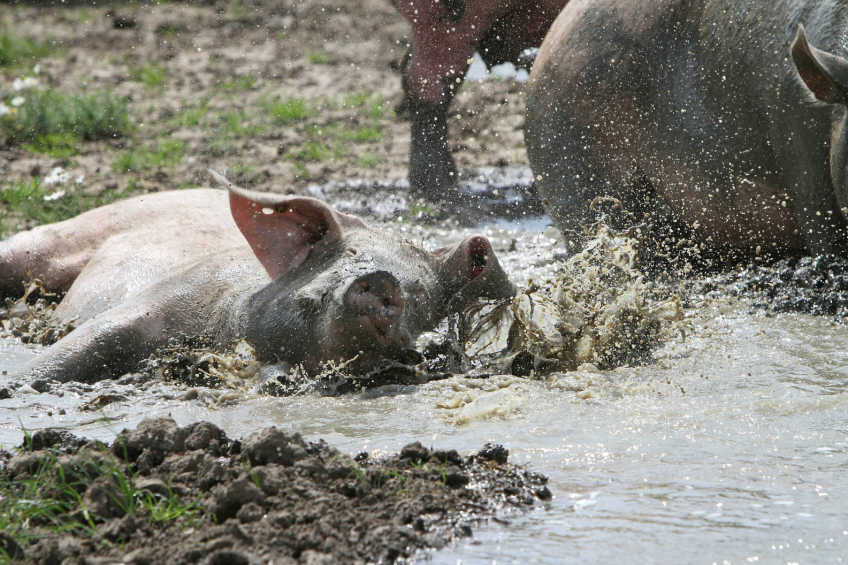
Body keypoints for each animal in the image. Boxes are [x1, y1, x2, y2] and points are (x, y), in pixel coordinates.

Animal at [0, 172, 512, 384]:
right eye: (349, 253)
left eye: (423, 296)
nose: (383, 281)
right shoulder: (165, 295)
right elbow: (79, 348)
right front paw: (18, 387)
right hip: (67, 233)